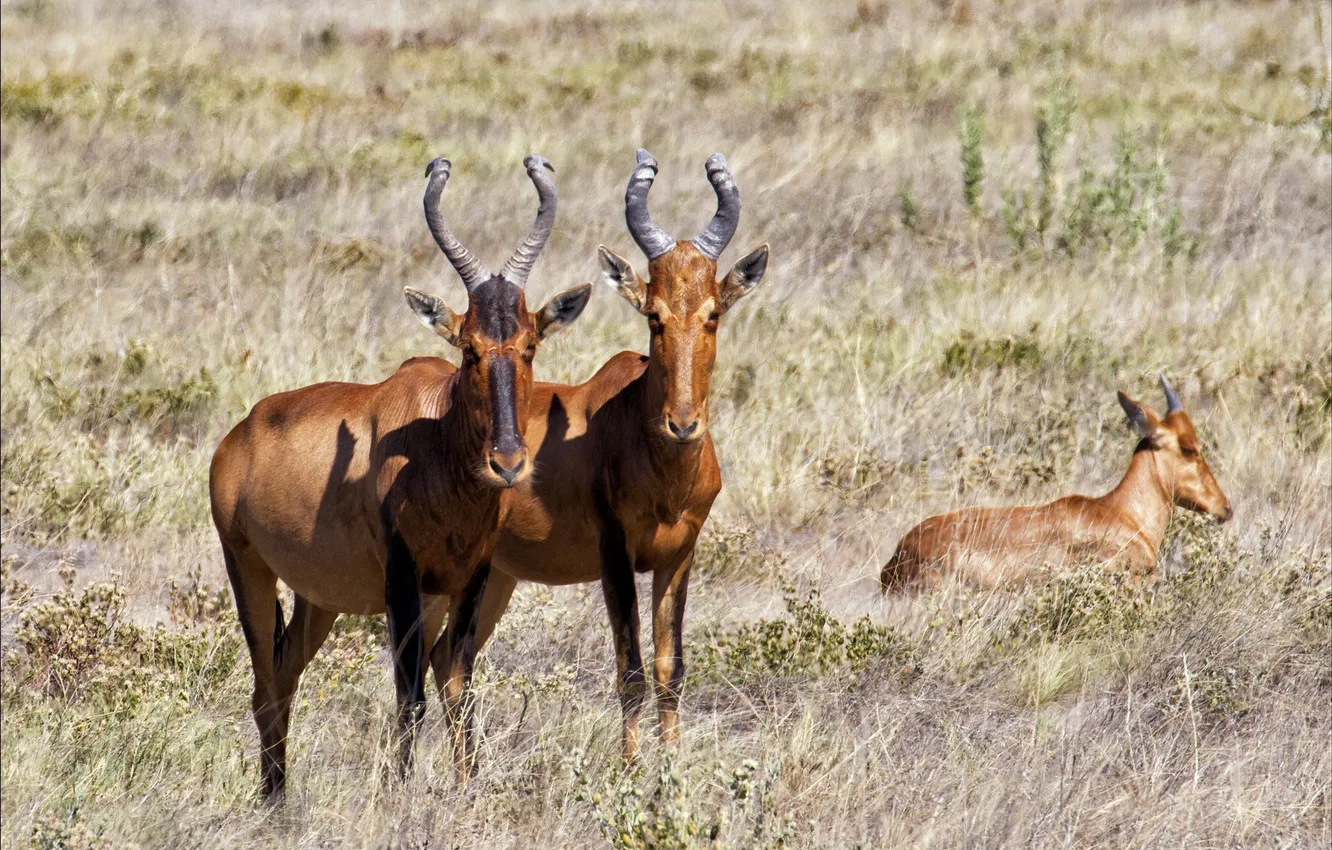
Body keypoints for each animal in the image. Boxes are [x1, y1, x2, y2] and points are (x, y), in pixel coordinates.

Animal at [205, 156, 591, 804]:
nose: (508, 462)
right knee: (264, 687)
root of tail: (238, 435)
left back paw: (280, 797)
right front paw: (401, 796)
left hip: (318, 598)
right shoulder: (403, 579)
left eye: (530, 344)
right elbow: (409, 697)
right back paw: (272, 800)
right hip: (247, 567)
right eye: (468, 347)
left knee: (285, 676)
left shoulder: (471, 577)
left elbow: (458, 687)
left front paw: (465, 788)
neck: (433, 439)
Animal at [431, 149, 772, 762]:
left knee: (446, 657)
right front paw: (632, 769)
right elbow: (630, 671)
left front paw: (671, 768)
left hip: (497, 578)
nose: (683, 424)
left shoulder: (680, 555)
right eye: (654, 315)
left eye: (713, 313)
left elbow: (669, 669)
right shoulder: (615, 554)